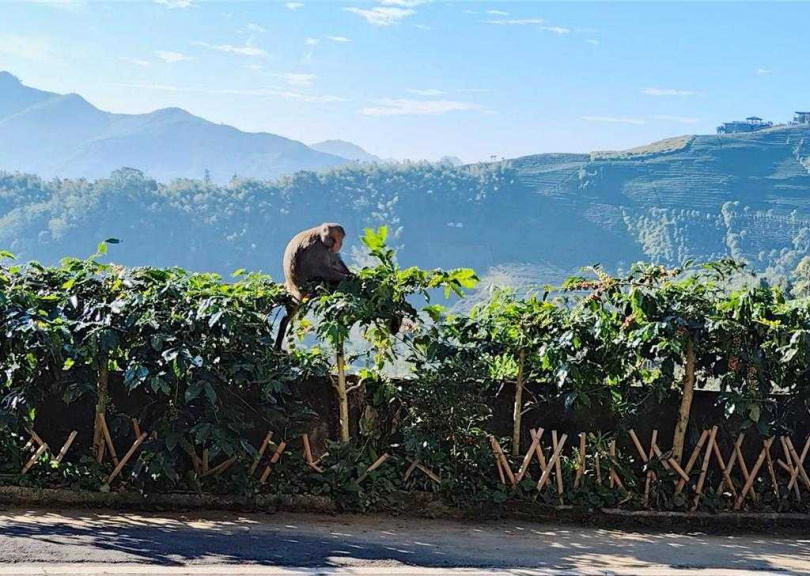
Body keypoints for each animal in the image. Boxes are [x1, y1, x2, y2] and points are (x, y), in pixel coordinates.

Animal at [274, 224, 350, 352]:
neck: (320, 236)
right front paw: (353, 277)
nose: (340, 243)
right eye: (338, 237)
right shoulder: (317, 249)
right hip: (310, 286)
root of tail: (292, 286)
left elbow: (335, 262)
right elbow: (324, 270)